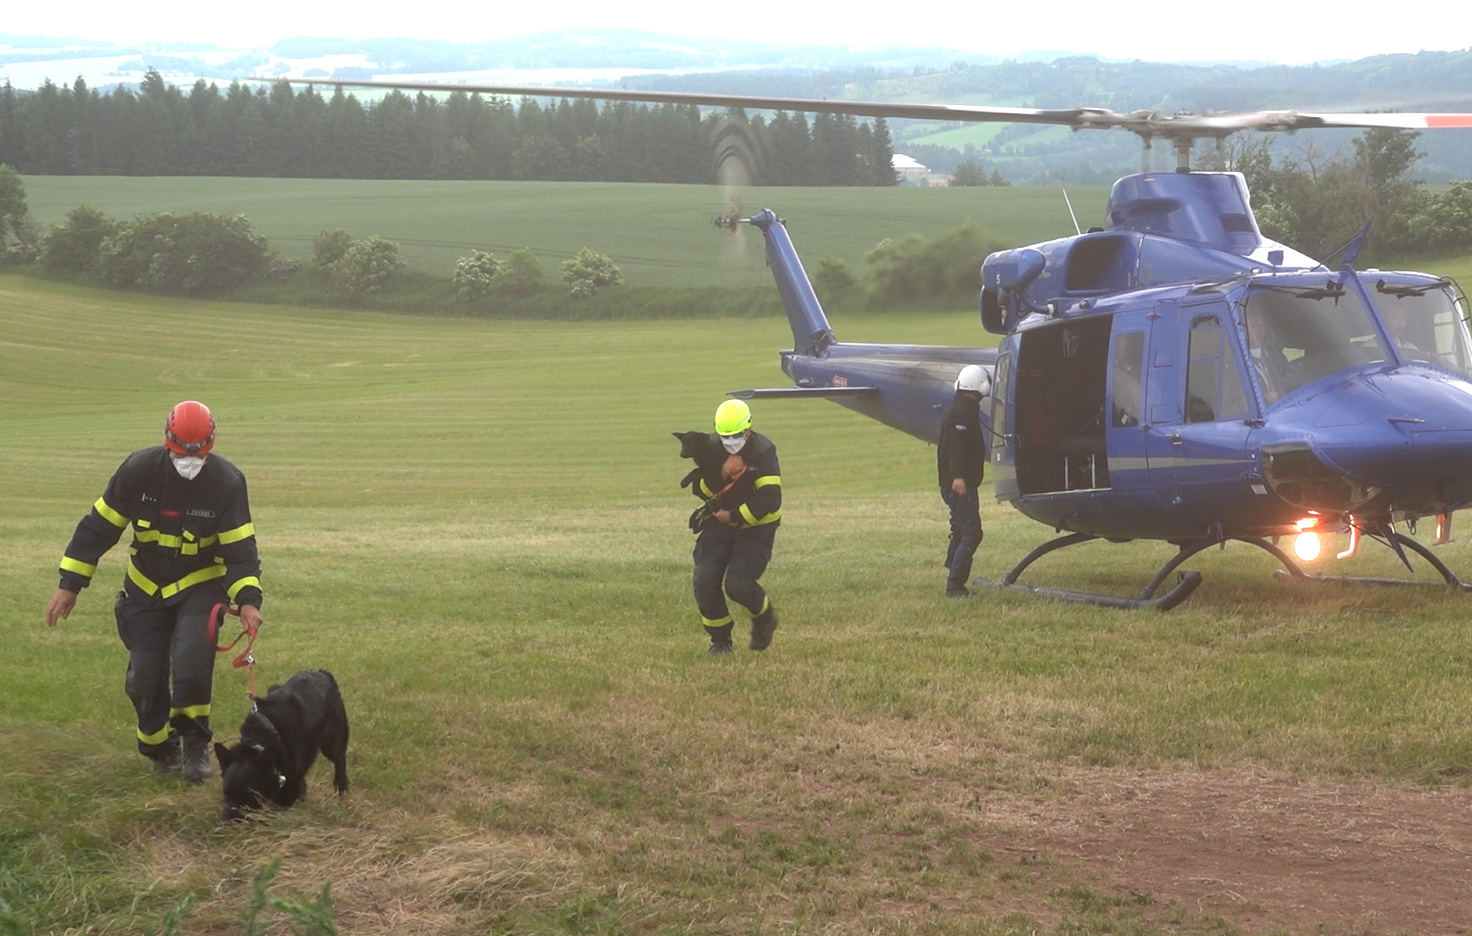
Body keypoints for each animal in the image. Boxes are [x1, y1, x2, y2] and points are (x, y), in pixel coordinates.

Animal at [214, 674, 350, 818]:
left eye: (249, 796)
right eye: (226, 795)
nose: (224, 820)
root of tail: (323, 674)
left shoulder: (287, 791)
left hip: (331, 744)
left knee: (340, 759)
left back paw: (342, 788)